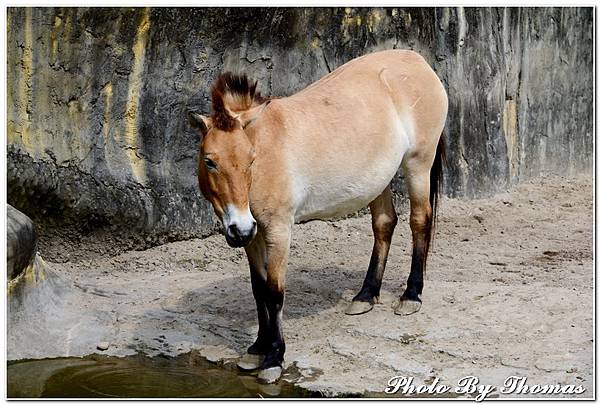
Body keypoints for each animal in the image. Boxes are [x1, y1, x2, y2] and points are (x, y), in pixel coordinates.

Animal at [188, 48, 446, 382]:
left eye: (250, 159)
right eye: (209, 162)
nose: (238, 229)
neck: (267, 148)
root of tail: (417, 60)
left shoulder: (278, 230)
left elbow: (274, 292)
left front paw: (274, 358)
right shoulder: (253, 237)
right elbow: (258, 290)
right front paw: (256, 349)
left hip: (418, 165)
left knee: (419, 221)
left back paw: (411, 296)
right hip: (380, 180)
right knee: (384, 224)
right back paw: (366, 295)